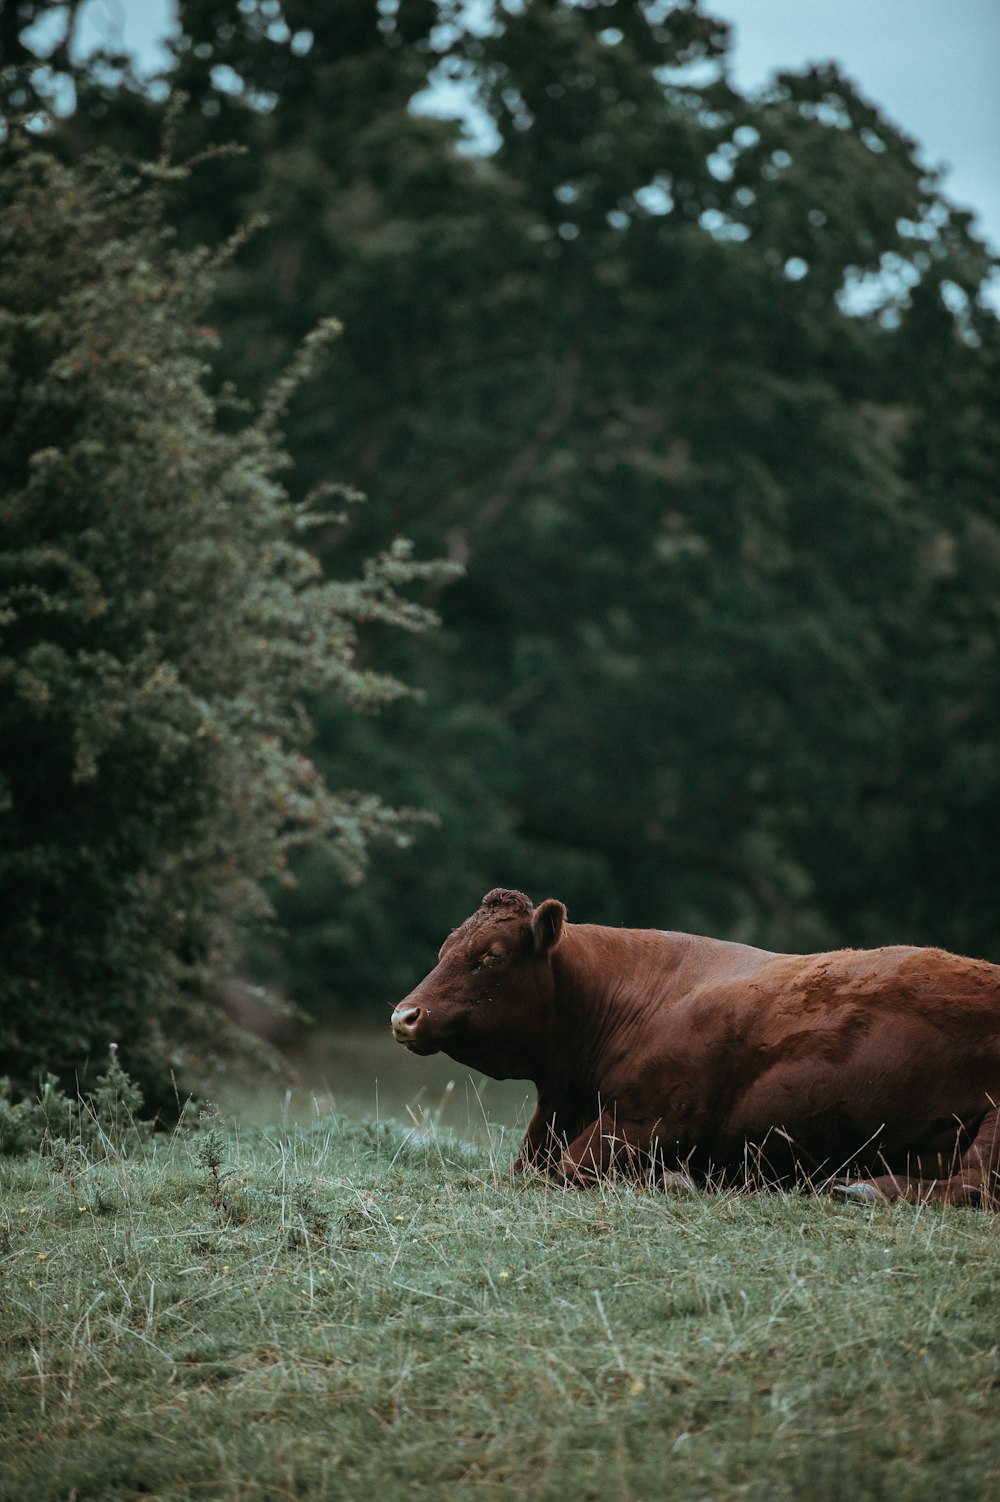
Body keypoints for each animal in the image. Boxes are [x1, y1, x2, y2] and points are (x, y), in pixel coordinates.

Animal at [390, 883, 996, 1201]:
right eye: (445, 947)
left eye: (490, 957)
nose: (404, 1015)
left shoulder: (644, 1120)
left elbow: (568, 1169)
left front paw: (676, 1178)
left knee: (973, 1183)